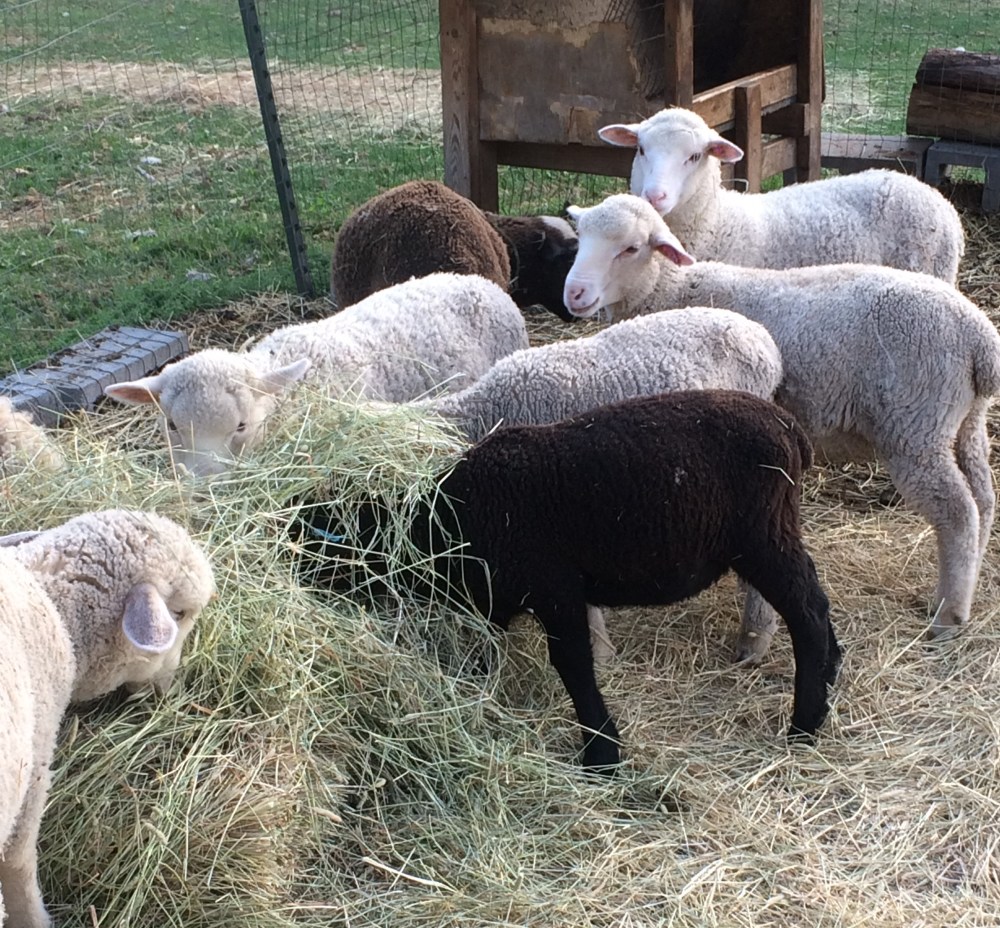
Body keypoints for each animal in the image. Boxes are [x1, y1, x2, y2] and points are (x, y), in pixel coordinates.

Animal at [293, 390, 840, 772]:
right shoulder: (494, 600)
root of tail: (788, 428)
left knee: (808, 612)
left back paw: (805, 722)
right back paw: (827, 683)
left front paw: (601, 754)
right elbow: (485, 657)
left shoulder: (556, 589)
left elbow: (572, 664)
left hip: (762, 534)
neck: (446, 523)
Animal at [563, 193, 1000, 659]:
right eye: (580, 240)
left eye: (630, 248)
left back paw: (949, 615)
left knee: (958, 512)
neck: (673, 289)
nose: (575, 293)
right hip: (964, 422)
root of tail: (980, 337)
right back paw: (963, 586)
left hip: (915, 427)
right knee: (983, 499)